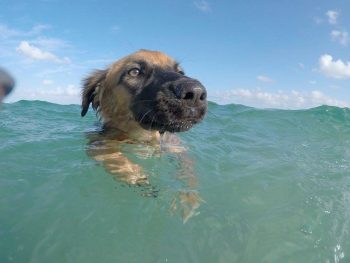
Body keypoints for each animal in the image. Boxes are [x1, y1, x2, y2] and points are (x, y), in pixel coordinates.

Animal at [81, 50, 208, 223]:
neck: (148, 136)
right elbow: (111, 155)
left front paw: (189, 198)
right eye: (134, 72)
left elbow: (189, 171)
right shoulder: (97, 140)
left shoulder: (178, 147)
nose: (196, 93)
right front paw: (138, 177)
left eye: (180, 72)